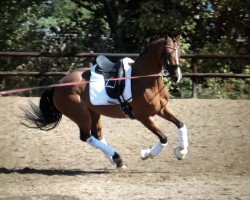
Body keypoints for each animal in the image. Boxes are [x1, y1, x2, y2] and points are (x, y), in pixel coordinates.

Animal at [23, 35, 188, 168]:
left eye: (179, 52)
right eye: (168, 53)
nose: (177, 77)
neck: (144, 80)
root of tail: (58, 84)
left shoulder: (161, 109)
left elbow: (181, 124)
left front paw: (182, 151)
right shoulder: (143, 116)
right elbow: (163, 138)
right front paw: (147, 154)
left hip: (94, 112)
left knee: (97, 135)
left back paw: (117, 161)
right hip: (81, 115)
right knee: (87, 137)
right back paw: (117, 158)